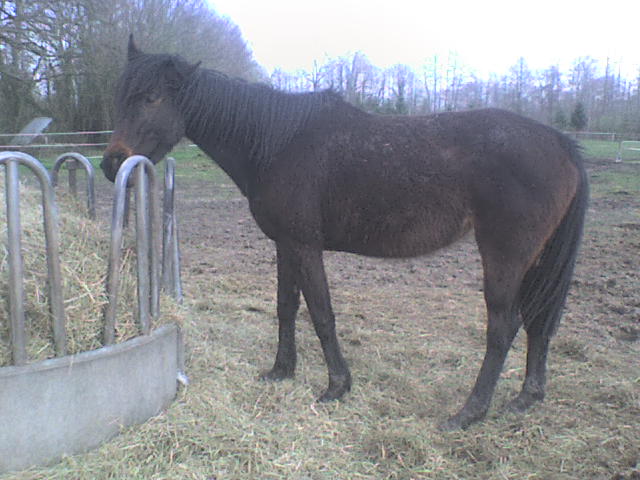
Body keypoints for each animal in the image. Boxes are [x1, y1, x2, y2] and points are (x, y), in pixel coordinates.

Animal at [102, 35, 588, 430]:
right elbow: (286, 307)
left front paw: (337, 385)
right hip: (535, 259)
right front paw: (281, 371)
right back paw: (526, 398)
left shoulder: (304, 245)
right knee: (540, 321)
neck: (277, 142)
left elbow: (321, 313)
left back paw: (469, 412)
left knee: (503, 328)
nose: (111, 164)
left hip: (504, 256)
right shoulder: (285, 245)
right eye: (121, 95)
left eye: (151, 98)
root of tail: (560, 143)